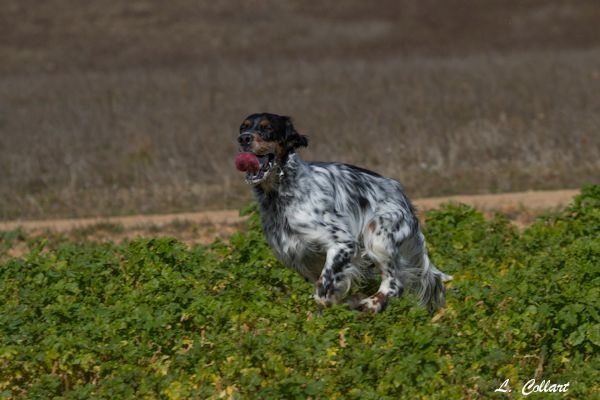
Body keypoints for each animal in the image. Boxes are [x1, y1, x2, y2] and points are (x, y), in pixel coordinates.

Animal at [234, 111, 450, 312]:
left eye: (267, 128)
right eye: (243, 127)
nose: (244, 138)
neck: (281, 194)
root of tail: (404, 198)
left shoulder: (342, 244)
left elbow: (322, 291)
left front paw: (344, 302)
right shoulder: (300, 260)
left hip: (378, 234)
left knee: (394, 284)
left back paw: (370, 304)